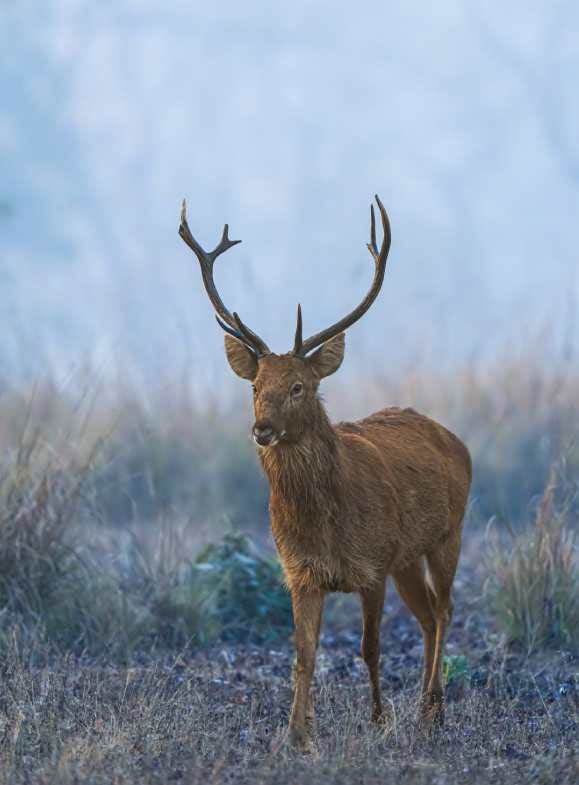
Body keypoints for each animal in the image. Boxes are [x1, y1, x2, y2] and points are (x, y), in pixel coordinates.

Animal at [179, 194, 474, 748]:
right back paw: (427, 708)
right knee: (427, 616)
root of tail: (453, 438)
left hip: (449, 532)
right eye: (256, 387)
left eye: (300, 386)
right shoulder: (299, 573)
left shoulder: (373, 564)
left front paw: (378, 722)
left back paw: (432, 709)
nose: (262, 429)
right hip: (407, 557)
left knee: (445, 610)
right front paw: (297, 735)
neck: (326, 525)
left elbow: (369, 648)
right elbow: (304, 656)